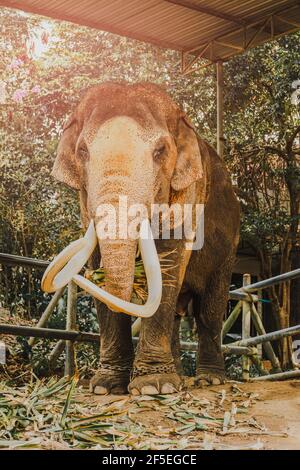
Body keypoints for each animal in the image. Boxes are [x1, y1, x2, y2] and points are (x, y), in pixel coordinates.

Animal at [51, 82, 239, 394]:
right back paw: (178, 377)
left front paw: (153, 387)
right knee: (177, 313)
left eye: (160, 151)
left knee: (210, 309)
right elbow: (99, 260)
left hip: (229, 249)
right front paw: (106, 387)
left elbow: (167, 263)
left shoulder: (189, 192)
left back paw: (208, 380)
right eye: (82, 151)